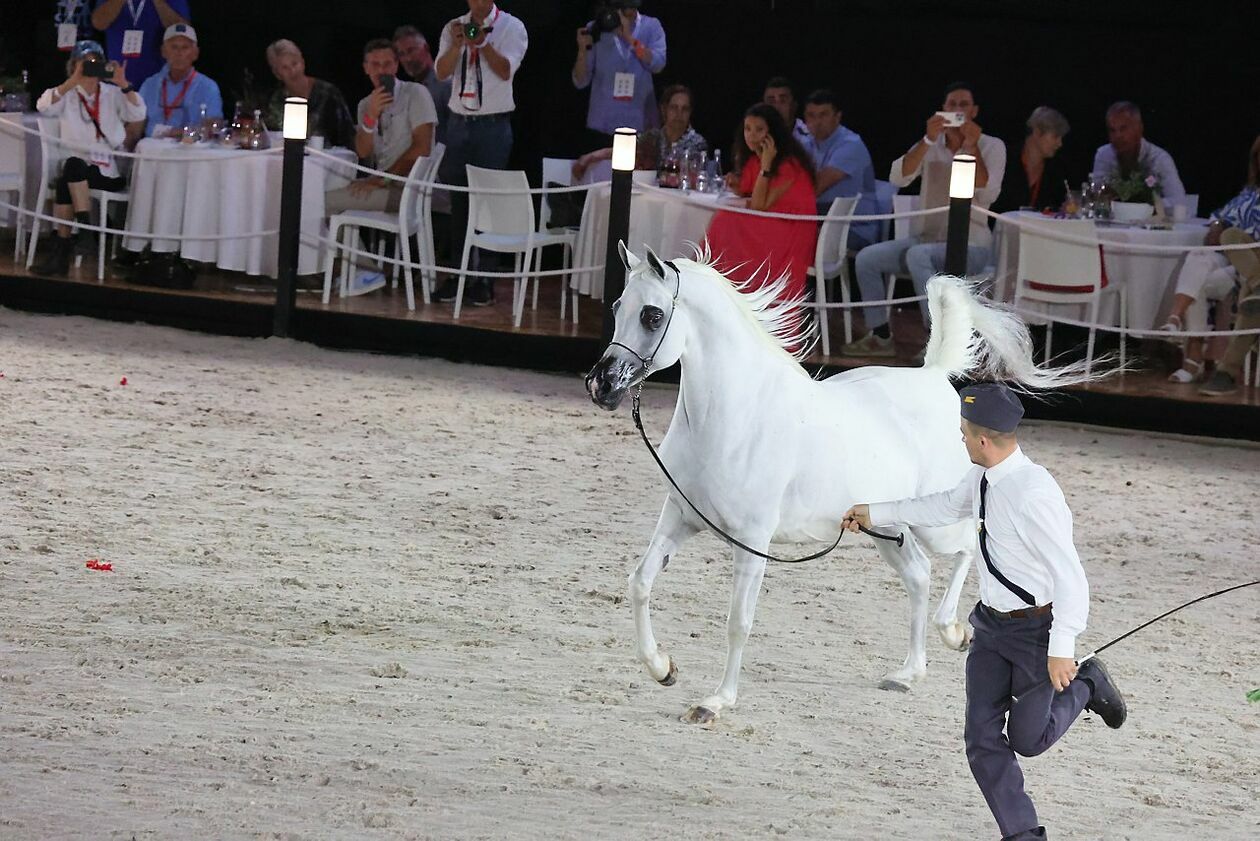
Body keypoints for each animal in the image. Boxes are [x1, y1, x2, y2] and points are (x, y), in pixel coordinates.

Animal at [585, 243, 1102, 725]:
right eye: (617, 306)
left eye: (652, 315)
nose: (600, 385)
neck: (733, 415)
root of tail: (935, 378)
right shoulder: (680, 518)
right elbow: (640, 582)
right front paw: (662, 668)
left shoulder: (751, 541)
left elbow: (738, 622)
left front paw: (716, 702)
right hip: (888, 528)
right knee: (920, 576)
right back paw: (907, 674)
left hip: (934, 520)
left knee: (966, 551)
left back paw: (955, 632)